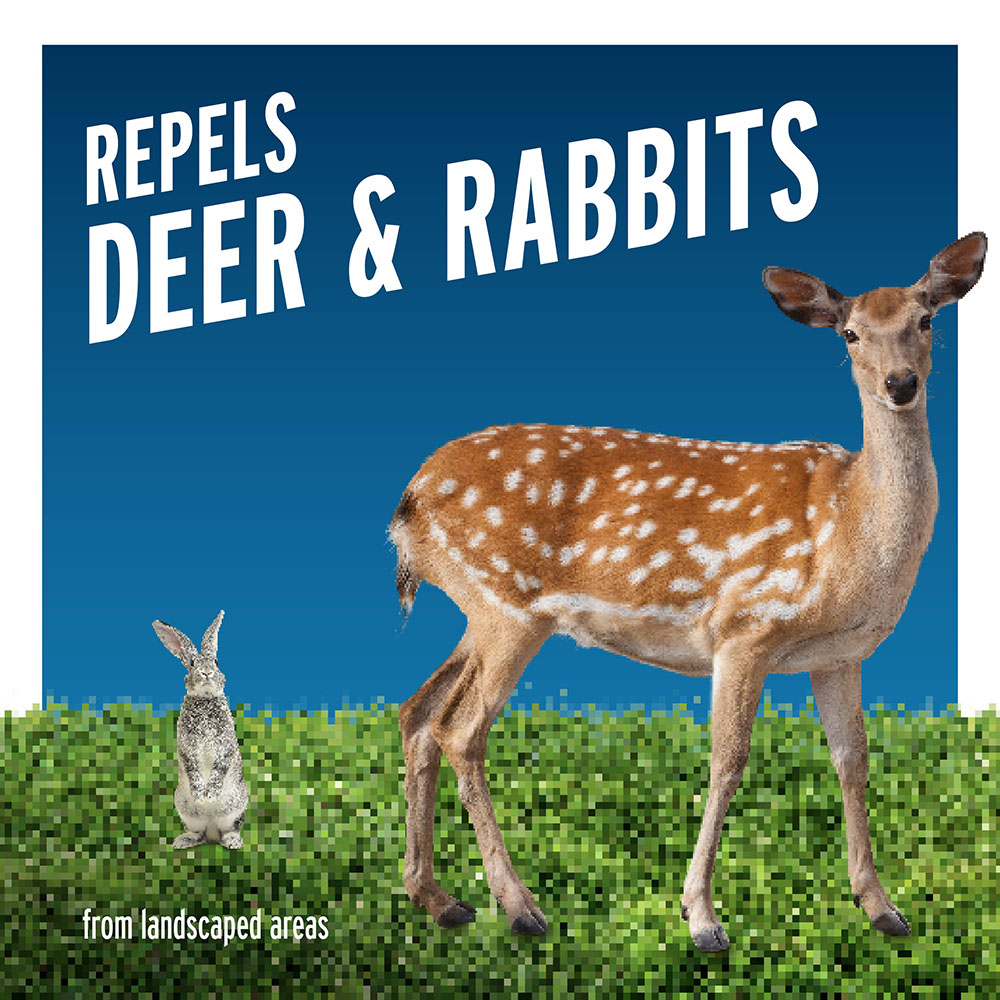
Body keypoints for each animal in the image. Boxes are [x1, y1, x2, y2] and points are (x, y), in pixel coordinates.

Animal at [152, 610, 249, 850]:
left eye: (216, 661)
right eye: (192, 663)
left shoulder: (225, 746)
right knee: (198, 833)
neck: (204, 699)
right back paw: (182, 841)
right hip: (187, 812)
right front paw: (200, 795)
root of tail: (212, 831)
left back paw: (233, 842)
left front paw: (210, 795)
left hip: (235, 809)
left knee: (230, 830)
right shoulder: (186, 748)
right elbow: (192, 768)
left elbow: (220, 768)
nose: (206, 673)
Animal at [389, 232, 986, 951]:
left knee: (418, 711)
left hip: (481, 611)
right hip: (508, 605)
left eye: (926, 320)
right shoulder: (745, 625)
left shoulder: (839, 655)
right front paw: (702, 919)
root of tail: (407, 503)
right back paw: (518, 907)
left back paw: (437, 899)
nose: (901, 384)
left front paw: (881, 907)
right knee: (460, 729)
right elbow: (727, 761)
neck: (849, 527)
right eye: (850, 333)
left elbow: (853, 760)